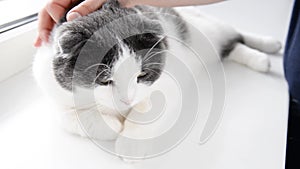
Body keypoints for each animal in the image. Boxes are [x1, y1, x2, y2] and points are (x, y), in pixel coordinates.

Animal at [32, 0, 282, 160]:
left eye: (141, 75)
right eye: (104, 80)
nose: (126, 101)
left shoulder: (170, 79)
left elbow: (146, 111)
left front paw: (130, 144)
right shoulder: (55, 94)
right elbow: (78, 117)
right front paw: (114, 125)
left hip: (210, 27)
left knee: (238, 34)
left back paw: (269, 46)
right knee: (233, 46)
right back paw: (261, 58)